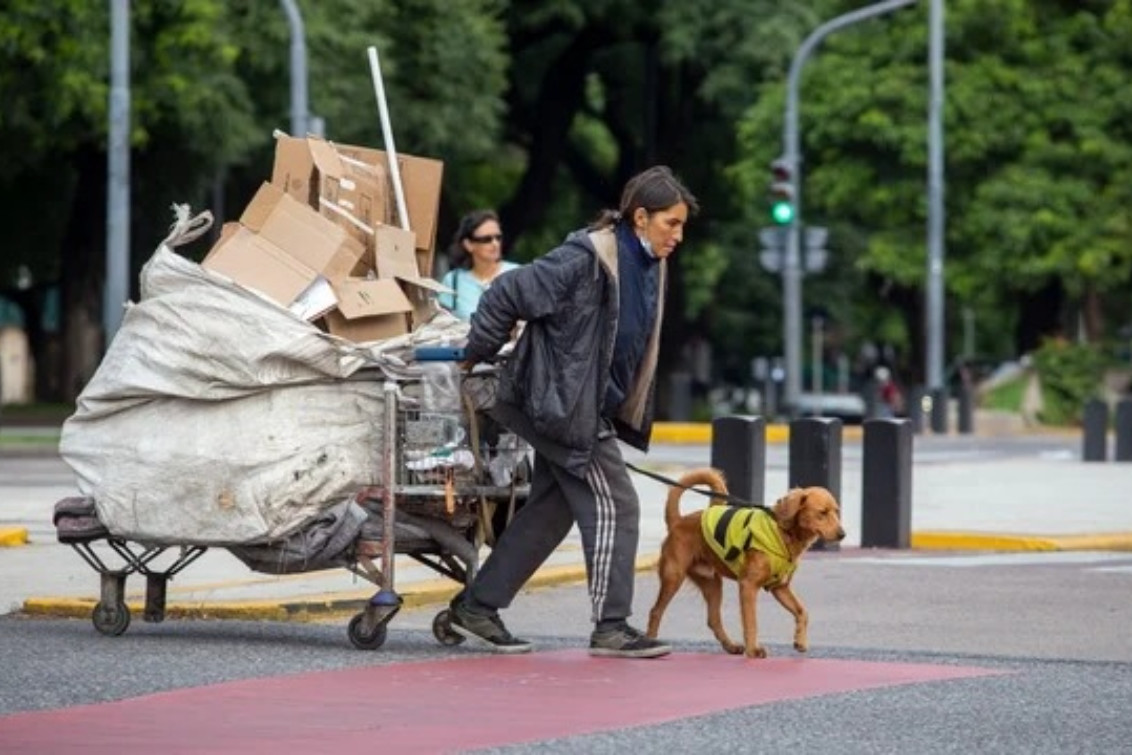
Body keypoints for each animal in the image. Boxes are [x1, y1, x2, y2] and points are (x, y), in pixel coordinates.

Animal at [652, 468, 846, 656]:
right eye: (822, 513)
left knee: (713, 620)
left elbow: (802, 612)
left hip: (713, 584)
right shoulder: (748, 586)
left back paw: (731, 646)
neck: (783, 533)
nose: (842, 534)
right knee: (656, 612)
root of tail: (678, 521)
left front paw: (800, 640)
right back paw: (651, 640)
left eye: (836, 511)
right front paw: (753, 650)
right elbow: (751, 622)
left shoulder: (780, 588)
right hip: (673, 578)